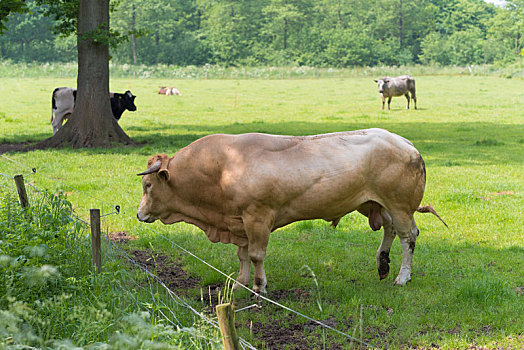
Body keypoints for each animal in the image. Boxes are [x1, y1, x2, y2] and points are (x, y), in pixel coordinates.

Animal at [136, 128, 446, 292]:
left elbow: (256, 255)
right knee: (391, 231)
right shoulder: (240, 221)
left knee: (409, 237)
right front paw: (240, 283)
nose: (139, 214)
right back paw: (382, 264)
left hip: (401, 205)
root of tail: (405, 142)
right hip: (381, 204)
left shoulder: (258, 217)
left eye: (148, 185)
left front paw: (259, 286)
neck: (220, 169)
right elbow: (242, 255)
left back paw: (402, 276)